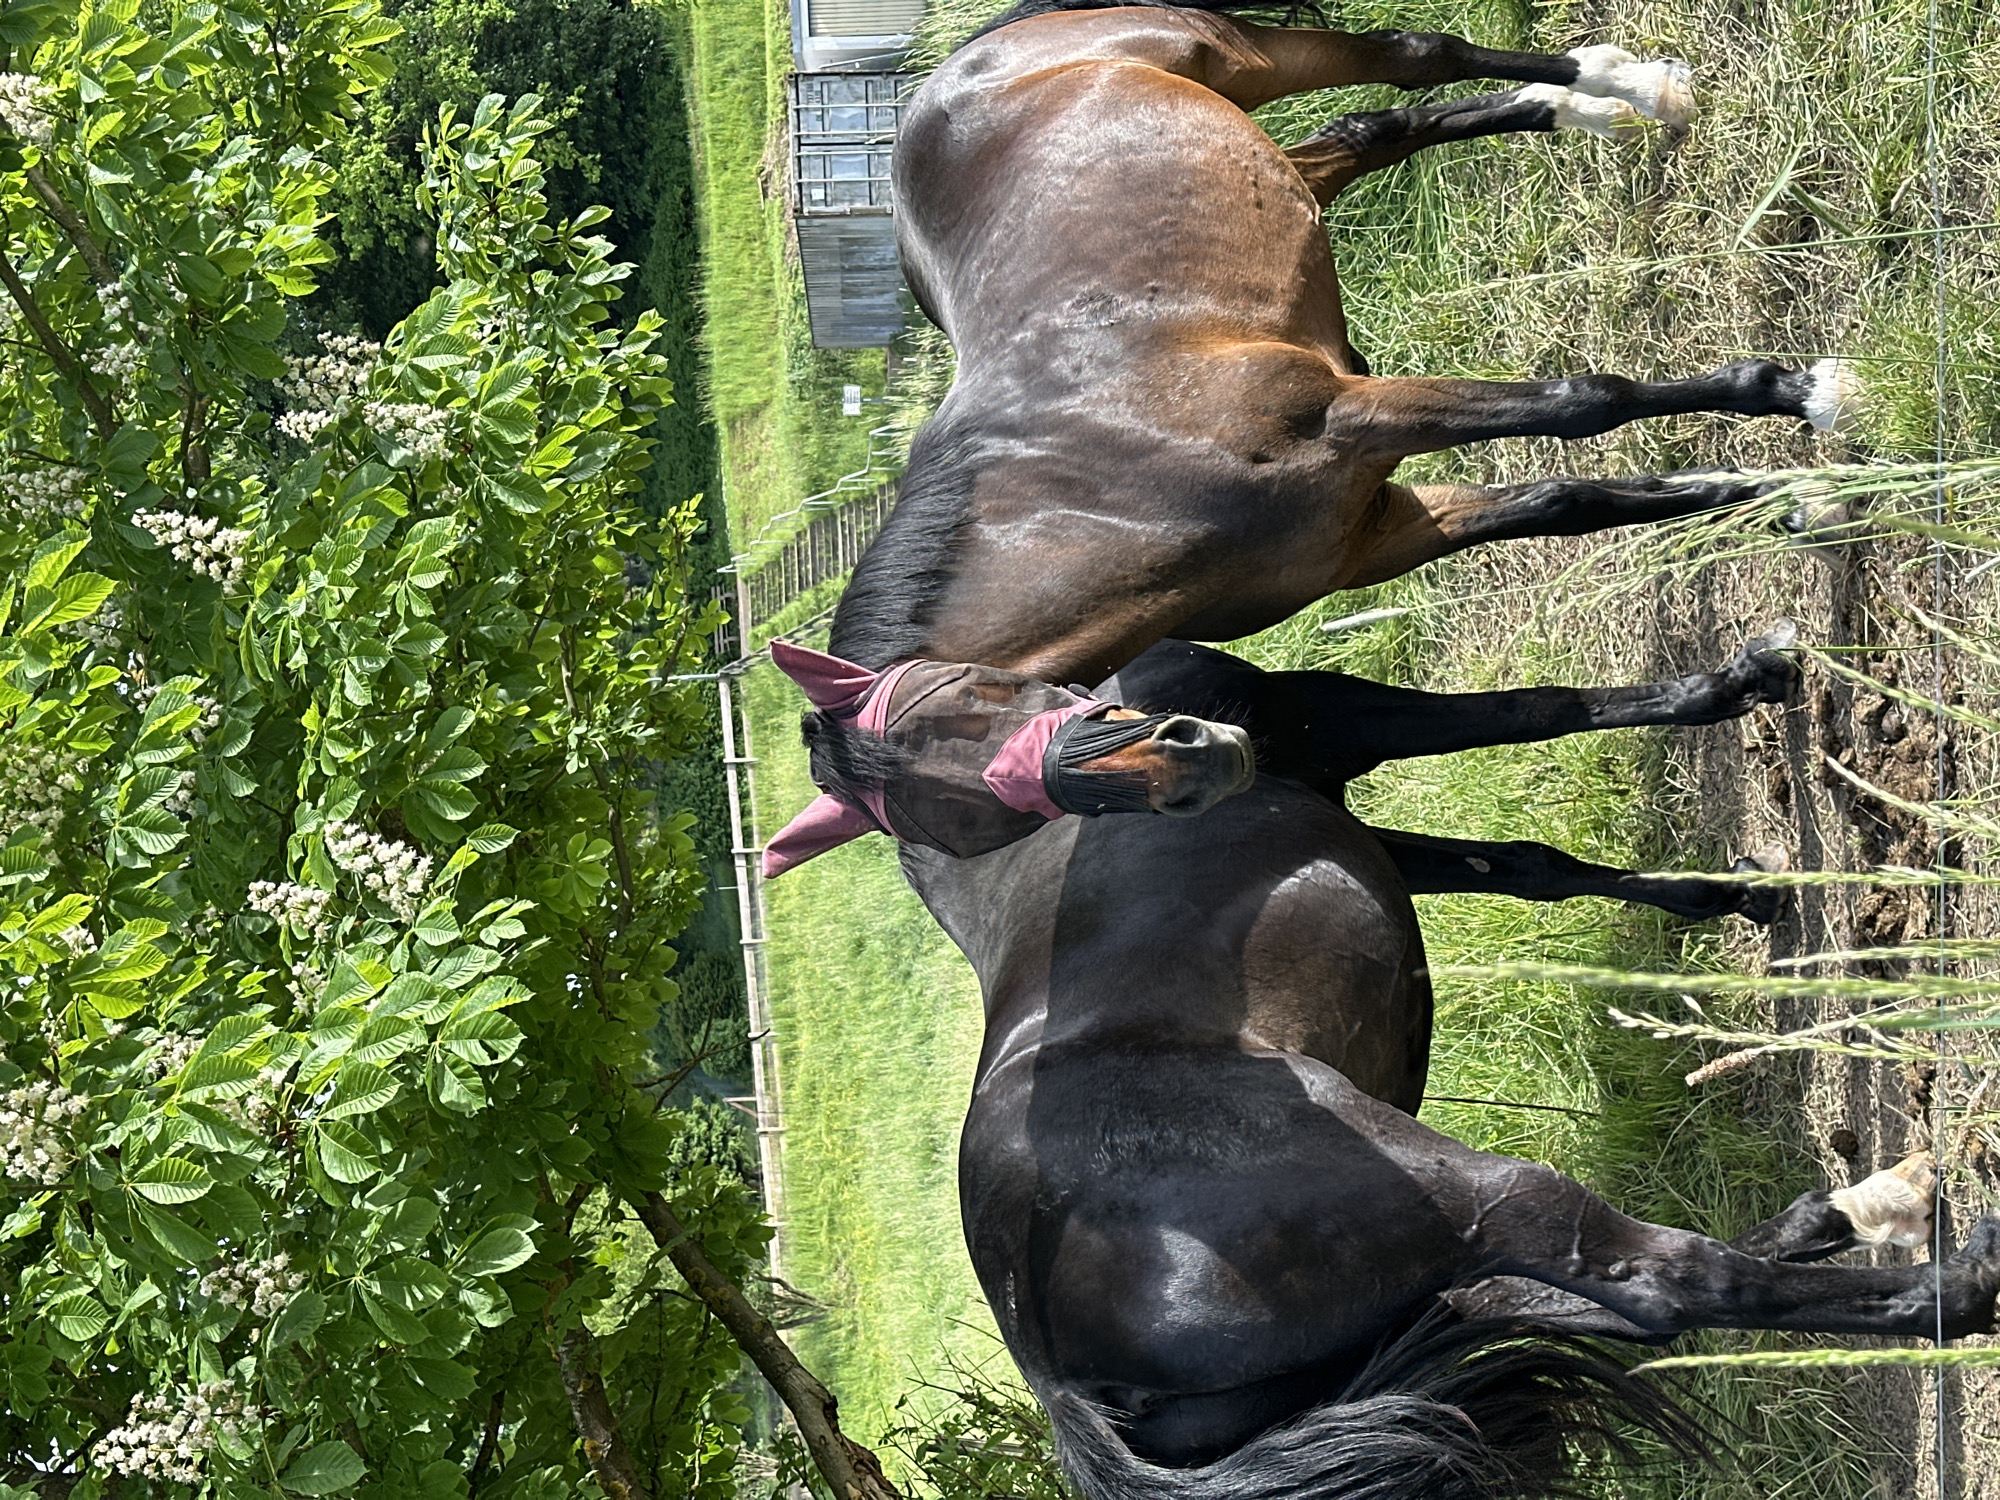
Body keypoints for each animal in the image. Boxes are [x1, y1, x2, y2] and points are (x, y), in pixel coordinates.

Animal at [892, 635, 1991, 1500]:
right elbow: (1535, 709)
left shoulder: (1346, 803)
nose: (1179, 753)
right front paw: (1743, 681)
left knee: (1548, 1302)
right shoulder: (1339, 718)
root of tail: (1052, 1365)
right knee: (1656, 1284)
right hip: (1457, 1189)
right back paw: (1952, 1269)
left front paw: (1731, 893)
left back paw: (1838, 1216)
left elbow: (1524, 865)